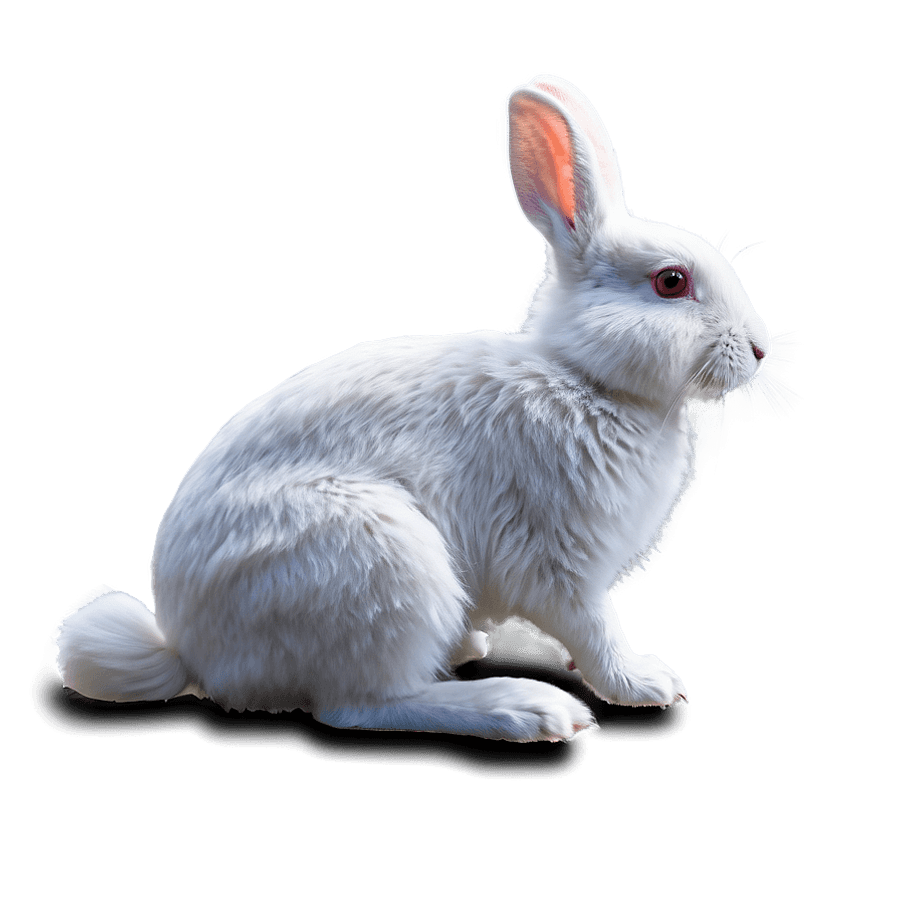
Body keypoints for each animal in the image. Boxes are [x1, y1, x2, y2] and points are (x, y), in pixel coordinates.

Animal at [50, 74, 797, 742]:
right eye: (671, 282)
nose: (761, 348)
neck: (585, 377)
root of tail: (190, 653)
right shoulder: (562, 564)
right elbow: (597, 631)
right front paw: (647, 683)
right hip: (383, 567)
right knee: (359, 707)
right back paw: (526, 711)